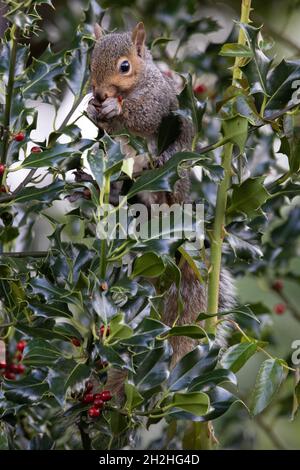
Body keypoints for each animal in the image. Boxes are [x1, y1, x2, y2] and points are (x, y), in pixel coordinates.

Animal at [85, 23, 236, 374]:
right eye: (90, 62)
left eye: (124, 66)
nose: (98, 95)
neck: (140, 81)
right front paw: (91, 109)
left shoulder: (157, 102)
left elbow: (144, 117)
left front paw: (115, 110)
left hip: (172, 176)